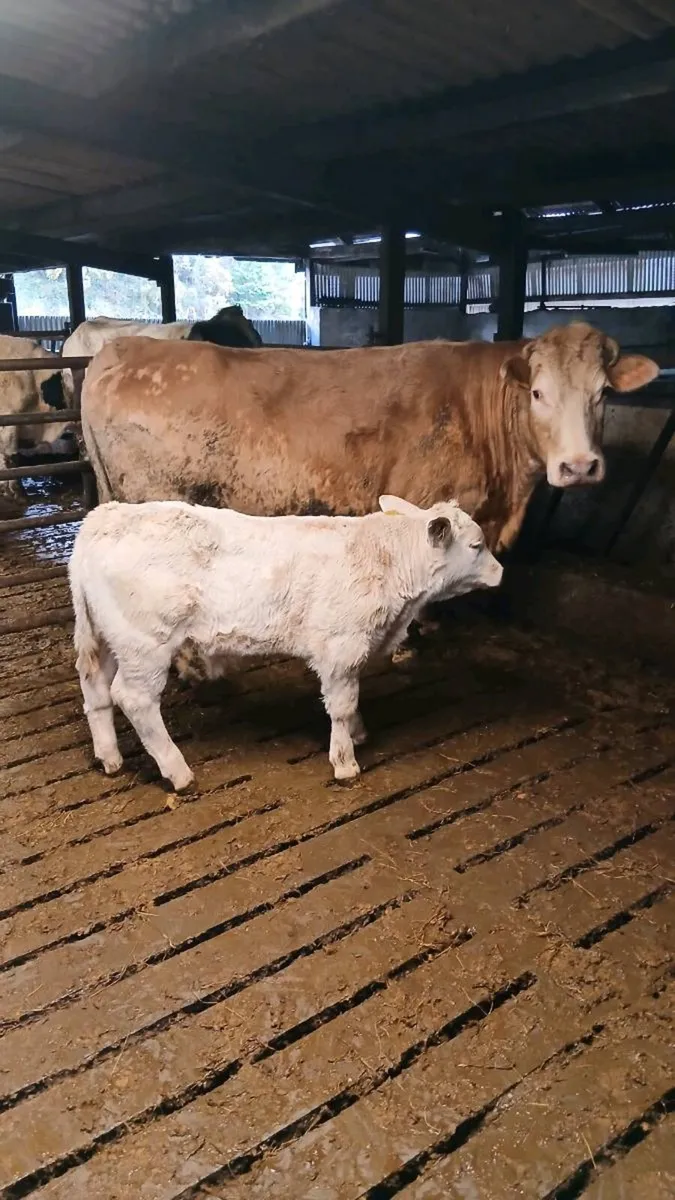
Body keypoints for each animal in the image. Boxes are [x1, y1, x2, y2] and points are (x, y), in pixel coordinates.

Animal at [69, 495, 502, 790]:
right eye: (477, 546)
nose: (501, 572)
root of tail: (104, 517)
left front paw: (359, 734)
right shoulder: (341, 647)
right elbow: (342, 706)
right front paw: (345, 761)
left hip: (107, 639)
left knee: (96, 689)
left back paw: (110, 757)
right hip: (144, 643)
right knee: (134, 699)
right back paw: (178, 772)